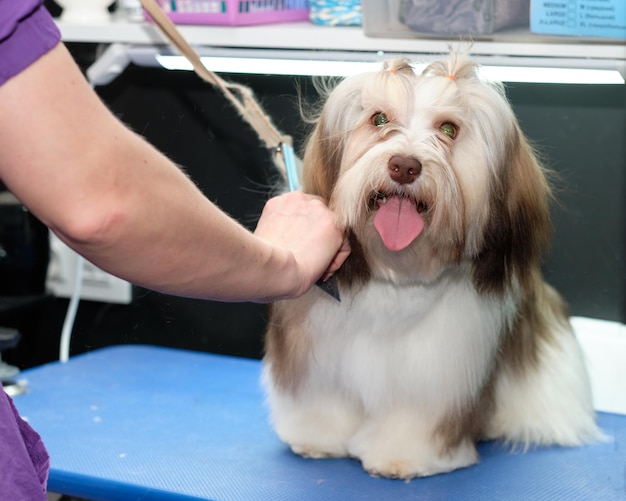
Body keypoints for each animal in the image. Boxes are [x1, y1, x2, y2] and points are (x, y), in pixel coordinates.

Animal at [260, 49, 596, 476]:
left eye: (449, 129)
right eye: (379, 119)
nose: (404, 166)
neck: (397, 277)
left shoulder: (436, 373)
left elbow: (414, 417)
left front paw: (402, 456)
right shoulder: (318, 352)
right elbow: (321, 398)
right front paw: (316, 437)